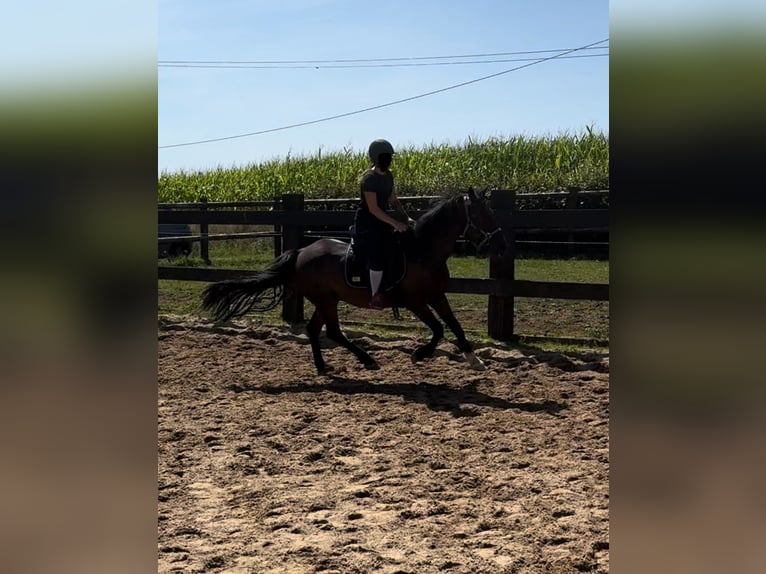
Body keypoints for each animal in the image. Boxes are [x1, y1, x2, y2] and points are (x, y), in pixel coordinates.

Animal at [201, 189, 508, 376]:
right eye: (482, 214)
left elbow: (454, 325)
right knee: (334, 333)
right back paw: (367, 359)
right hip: (326, 300)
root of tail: (301, 252)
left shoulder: (436, 296)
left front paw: (475, 359)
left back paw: (324, 367)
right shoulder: (415, 302)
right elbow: (438, 329)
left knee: (315, 330)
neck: (422, 251)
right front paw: (420, 354)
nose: (502, 246)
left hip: (326, 300)